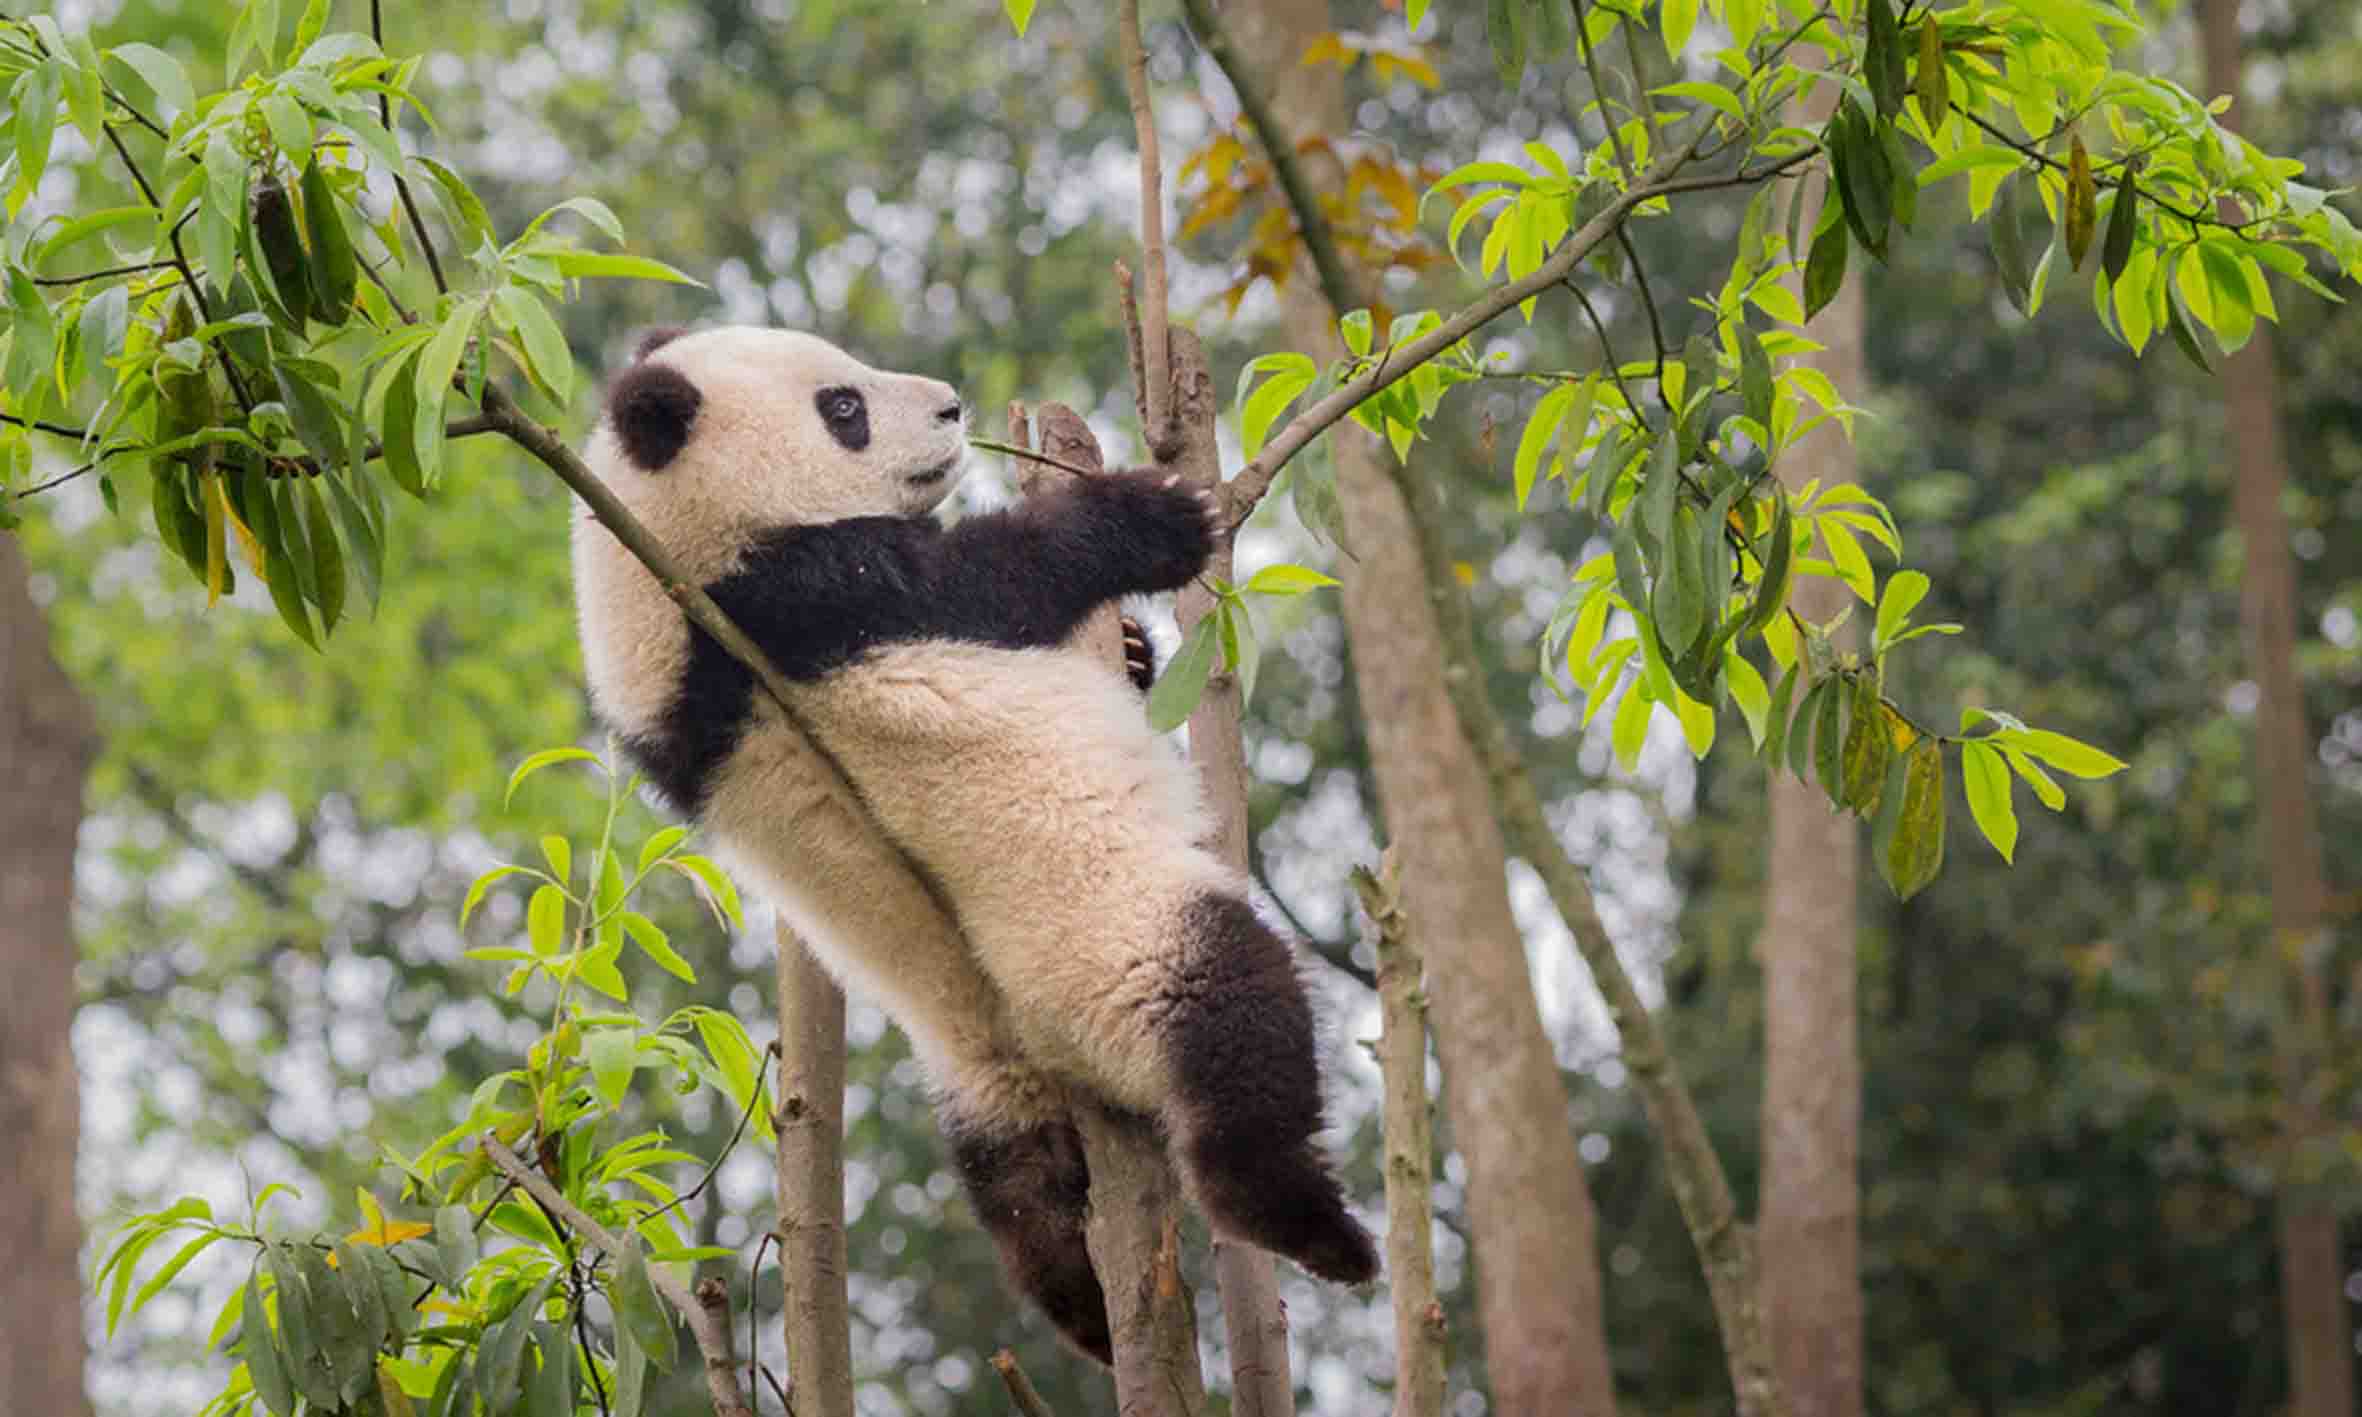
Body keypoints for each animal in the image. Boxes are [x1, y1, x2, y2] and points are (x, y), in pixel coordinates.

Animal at [571, 325, 1377, 1362]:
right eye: (843, 408)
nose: (953, 406)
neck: (661, 590)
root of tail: (1051, 1043)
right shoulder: (801, 597)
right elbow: (992, 577)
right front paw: (1158, 515)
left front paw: (1132, 649)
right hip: (1111, 941)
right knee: (1234, 1013)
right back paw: (1314, 1228)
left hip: (979, 1063)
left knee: (1016, 1183)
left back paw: (1086, 1308)